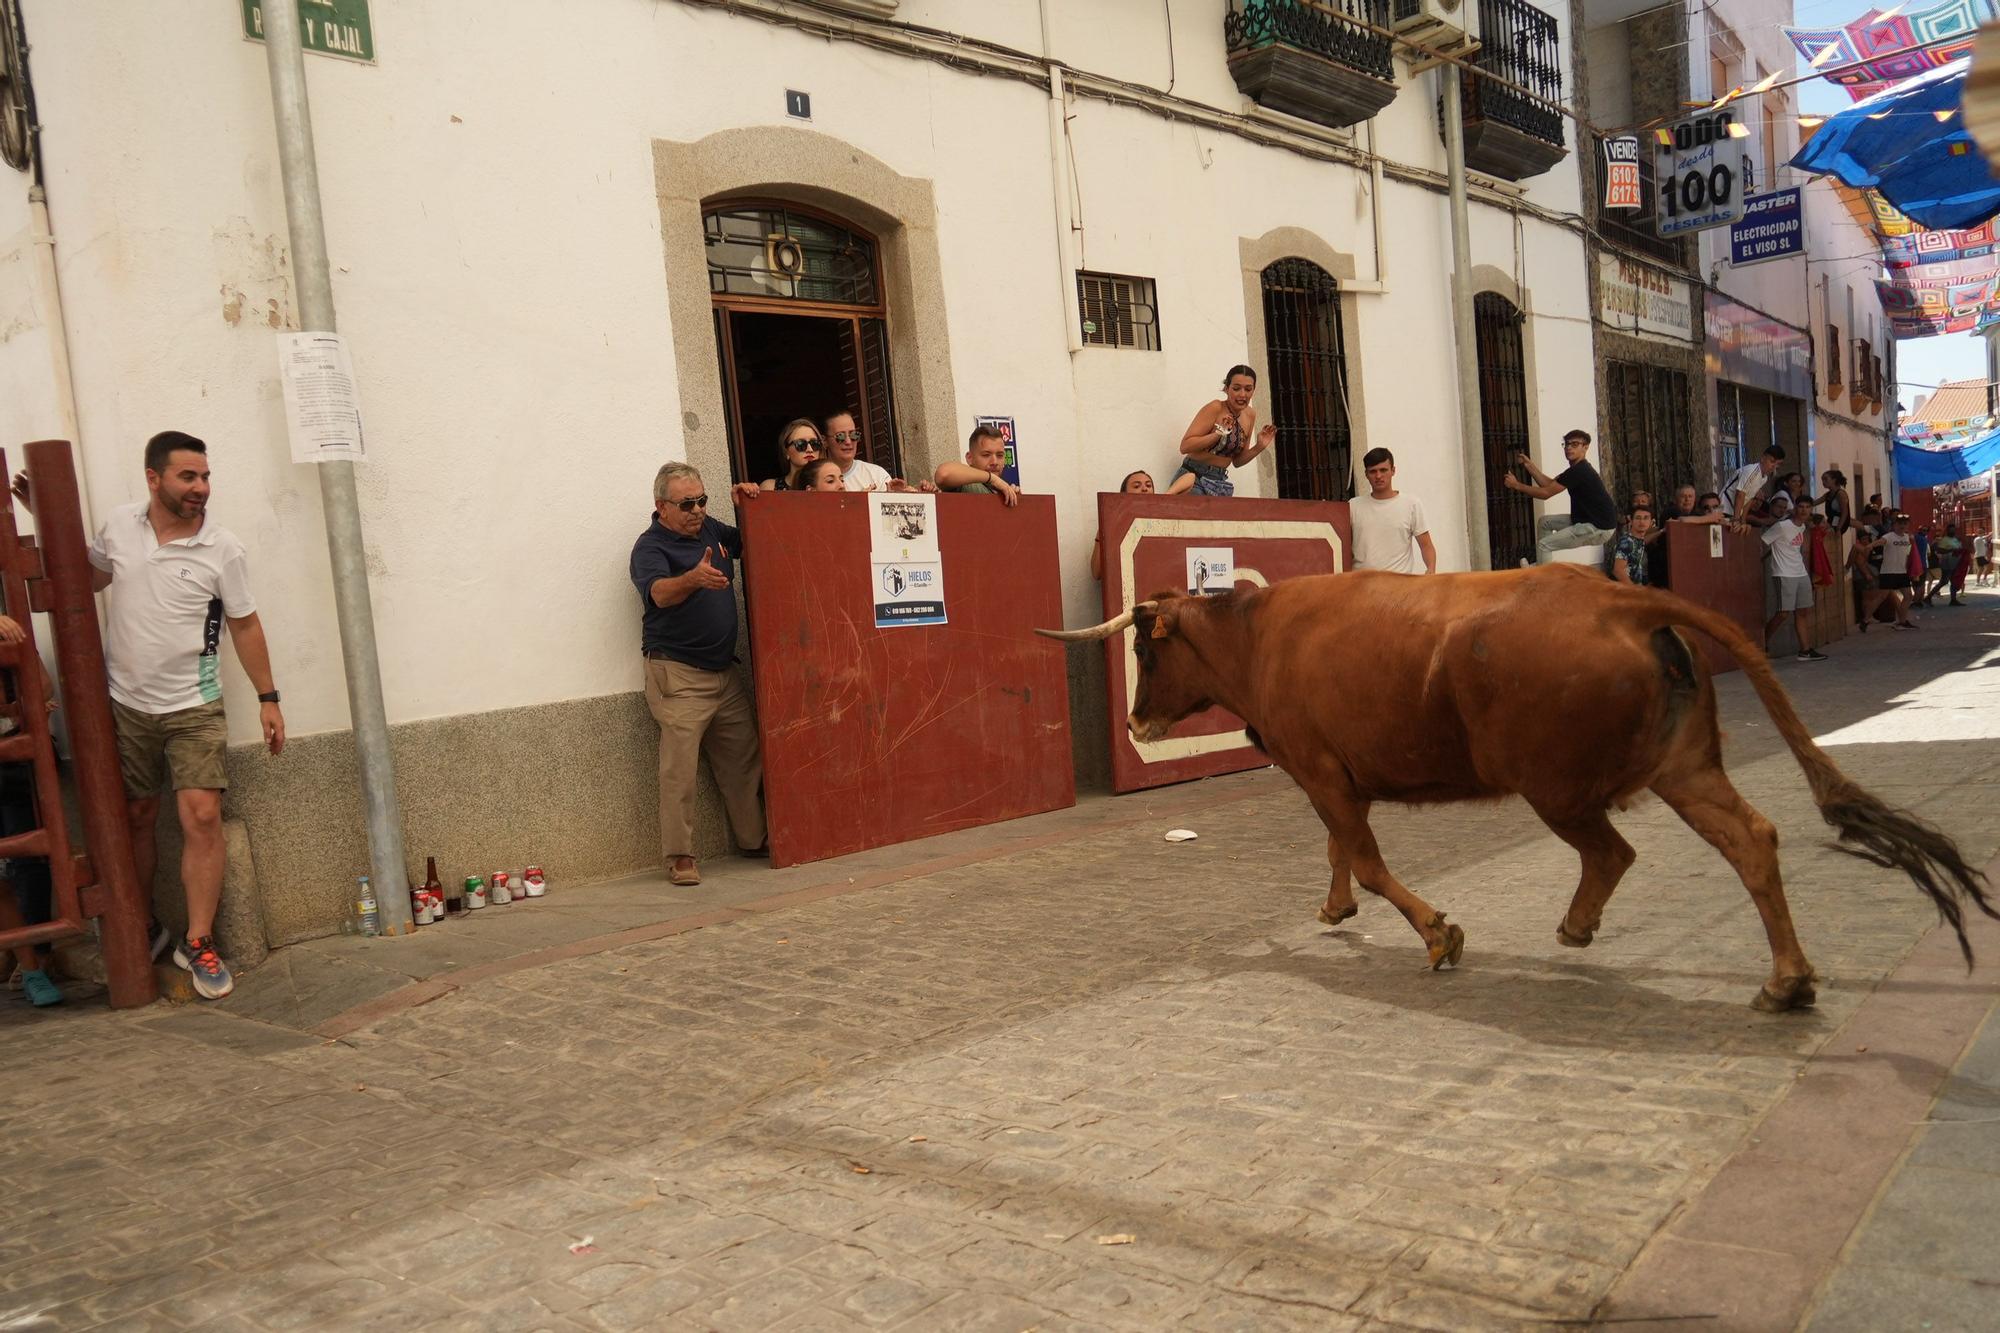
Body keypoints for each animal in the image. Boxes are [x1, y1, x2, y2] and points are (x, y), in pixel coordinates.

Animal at [1040, 560, 1992, 1008]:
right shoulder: (1330, 777)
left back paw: (1581, 925)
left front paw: (1438, 933)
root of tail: (1624, 601)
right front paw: (1336, 908)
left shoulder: (1320, 772)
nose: (1136, 723)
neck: (1260, 633)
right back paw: (1785, 981)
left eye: (1145, 646)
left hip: (1559, 787)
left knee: (1613, 850)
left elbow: (1368, 858)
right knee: (1749, 839)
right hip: (1683, 766)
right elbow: (1342, 853)